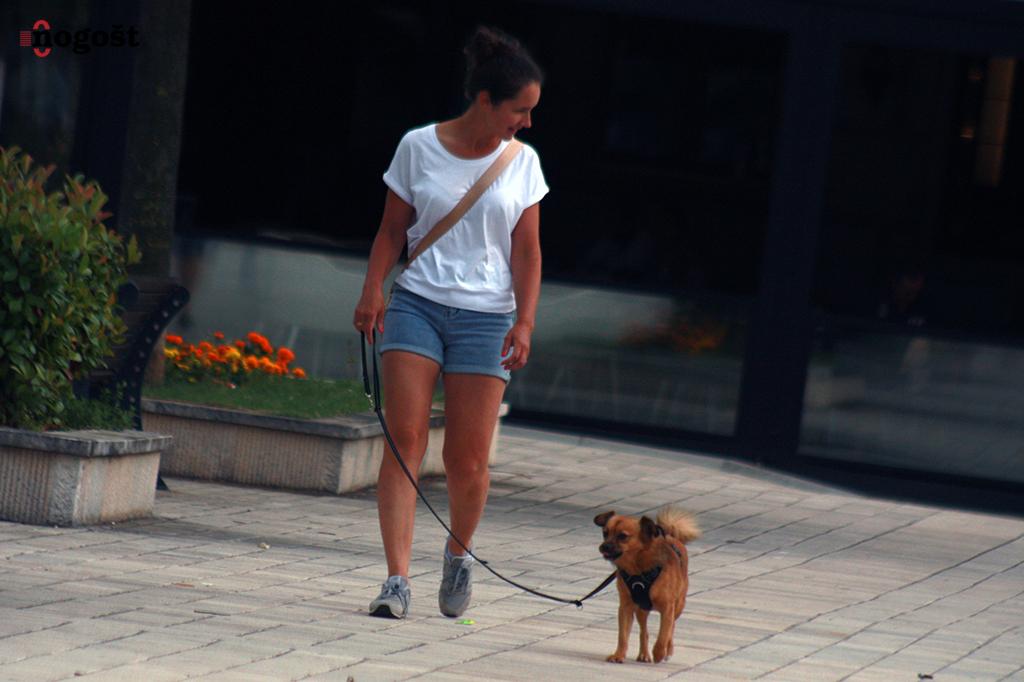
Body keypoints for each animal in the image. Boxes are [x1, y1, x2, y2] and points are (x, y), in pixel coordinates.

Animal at [594, 506, 700, 663]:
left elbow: (664, 634)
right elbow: (623, 635)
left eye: (622, 536)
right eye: (605, 533)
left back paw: (668, 650)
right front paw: (619, 655)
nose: (604, 546)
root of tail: (671, 535)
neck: (637, 568)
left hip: (678, 606)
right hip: (641, 610)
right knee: (644, 632)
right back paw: (644, 654)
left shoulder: (667, 608)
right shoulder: (625, 607)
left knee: (671, 628)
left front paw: (659, 652)